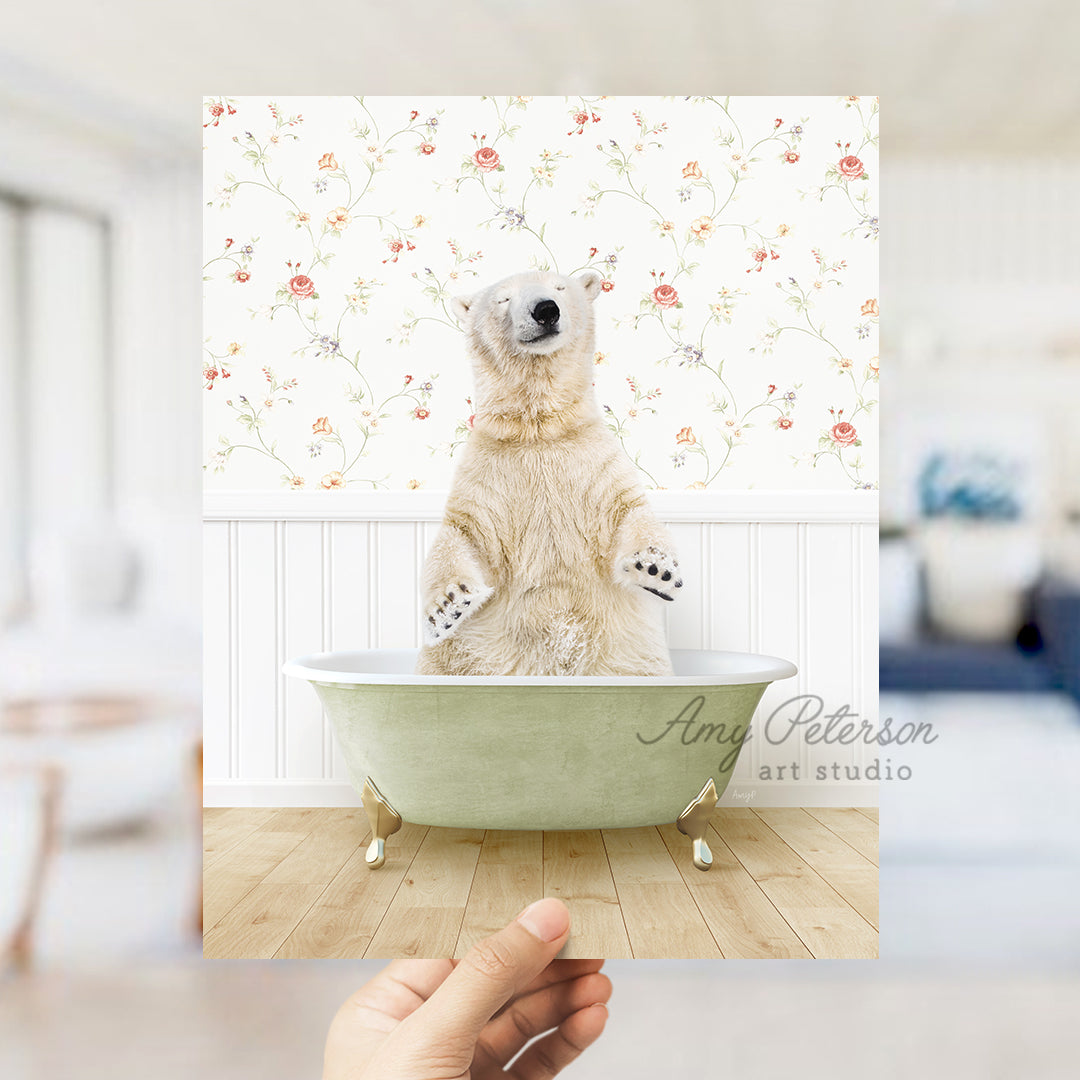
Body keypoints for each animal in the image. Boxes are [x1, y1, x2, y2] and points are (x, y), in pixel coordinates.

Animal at [414, 267, 682, 673]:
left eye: (559, 287)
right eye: (503, 298)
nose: (545, 310)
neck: (539, 427)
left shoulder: (592, 460)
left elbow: (628, 510)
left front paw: (654, 567)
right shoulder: (490, 473)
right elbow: (462, 533)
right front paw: (449, 605)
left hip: (631, 657)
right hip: (457, 660)